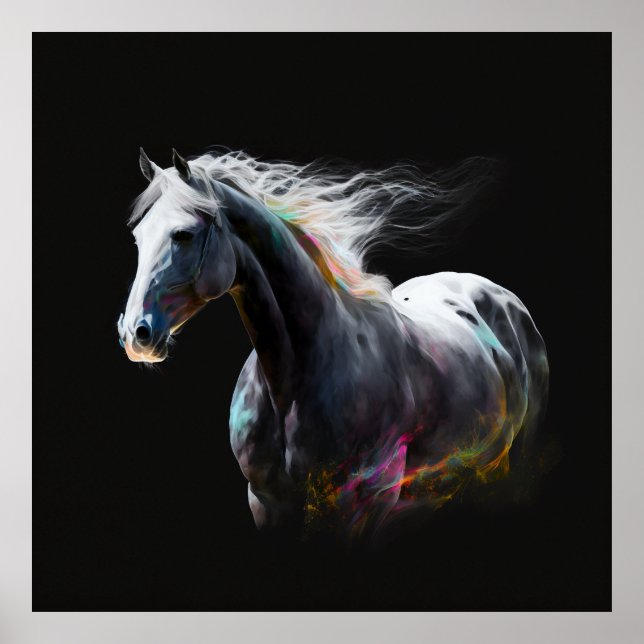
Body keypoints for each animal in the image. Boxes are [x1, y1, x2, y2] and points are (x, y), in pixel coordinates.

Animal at [118, 148, 549, 540]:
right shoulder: (267, 501)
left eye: (183, 234)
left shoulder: (362, 504)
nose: (137, 334)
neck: (295, 380)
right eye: (138, 237)